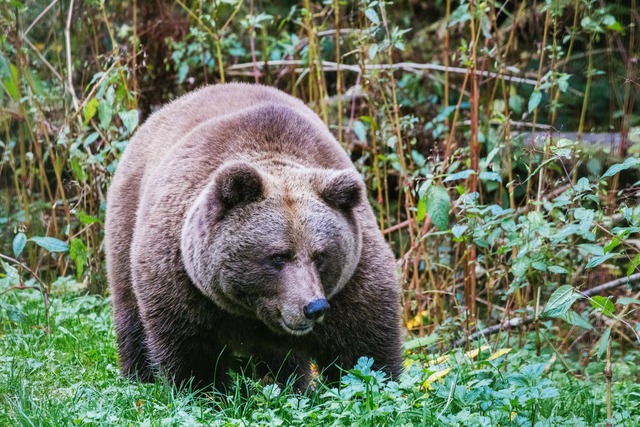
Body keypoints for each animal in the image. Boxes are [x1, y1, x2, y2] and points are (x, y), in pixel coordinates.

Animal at [107, 83, 402, 392]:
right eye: (278, 256)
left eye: (321, 255)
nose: (314, 307)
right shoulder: (181, 276)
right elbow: (190, 347)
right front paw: (204, 389)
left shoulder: (351, 279)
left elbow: (363, 346)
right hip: (126, 218)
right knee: (130, 312)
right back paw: (138, 376)